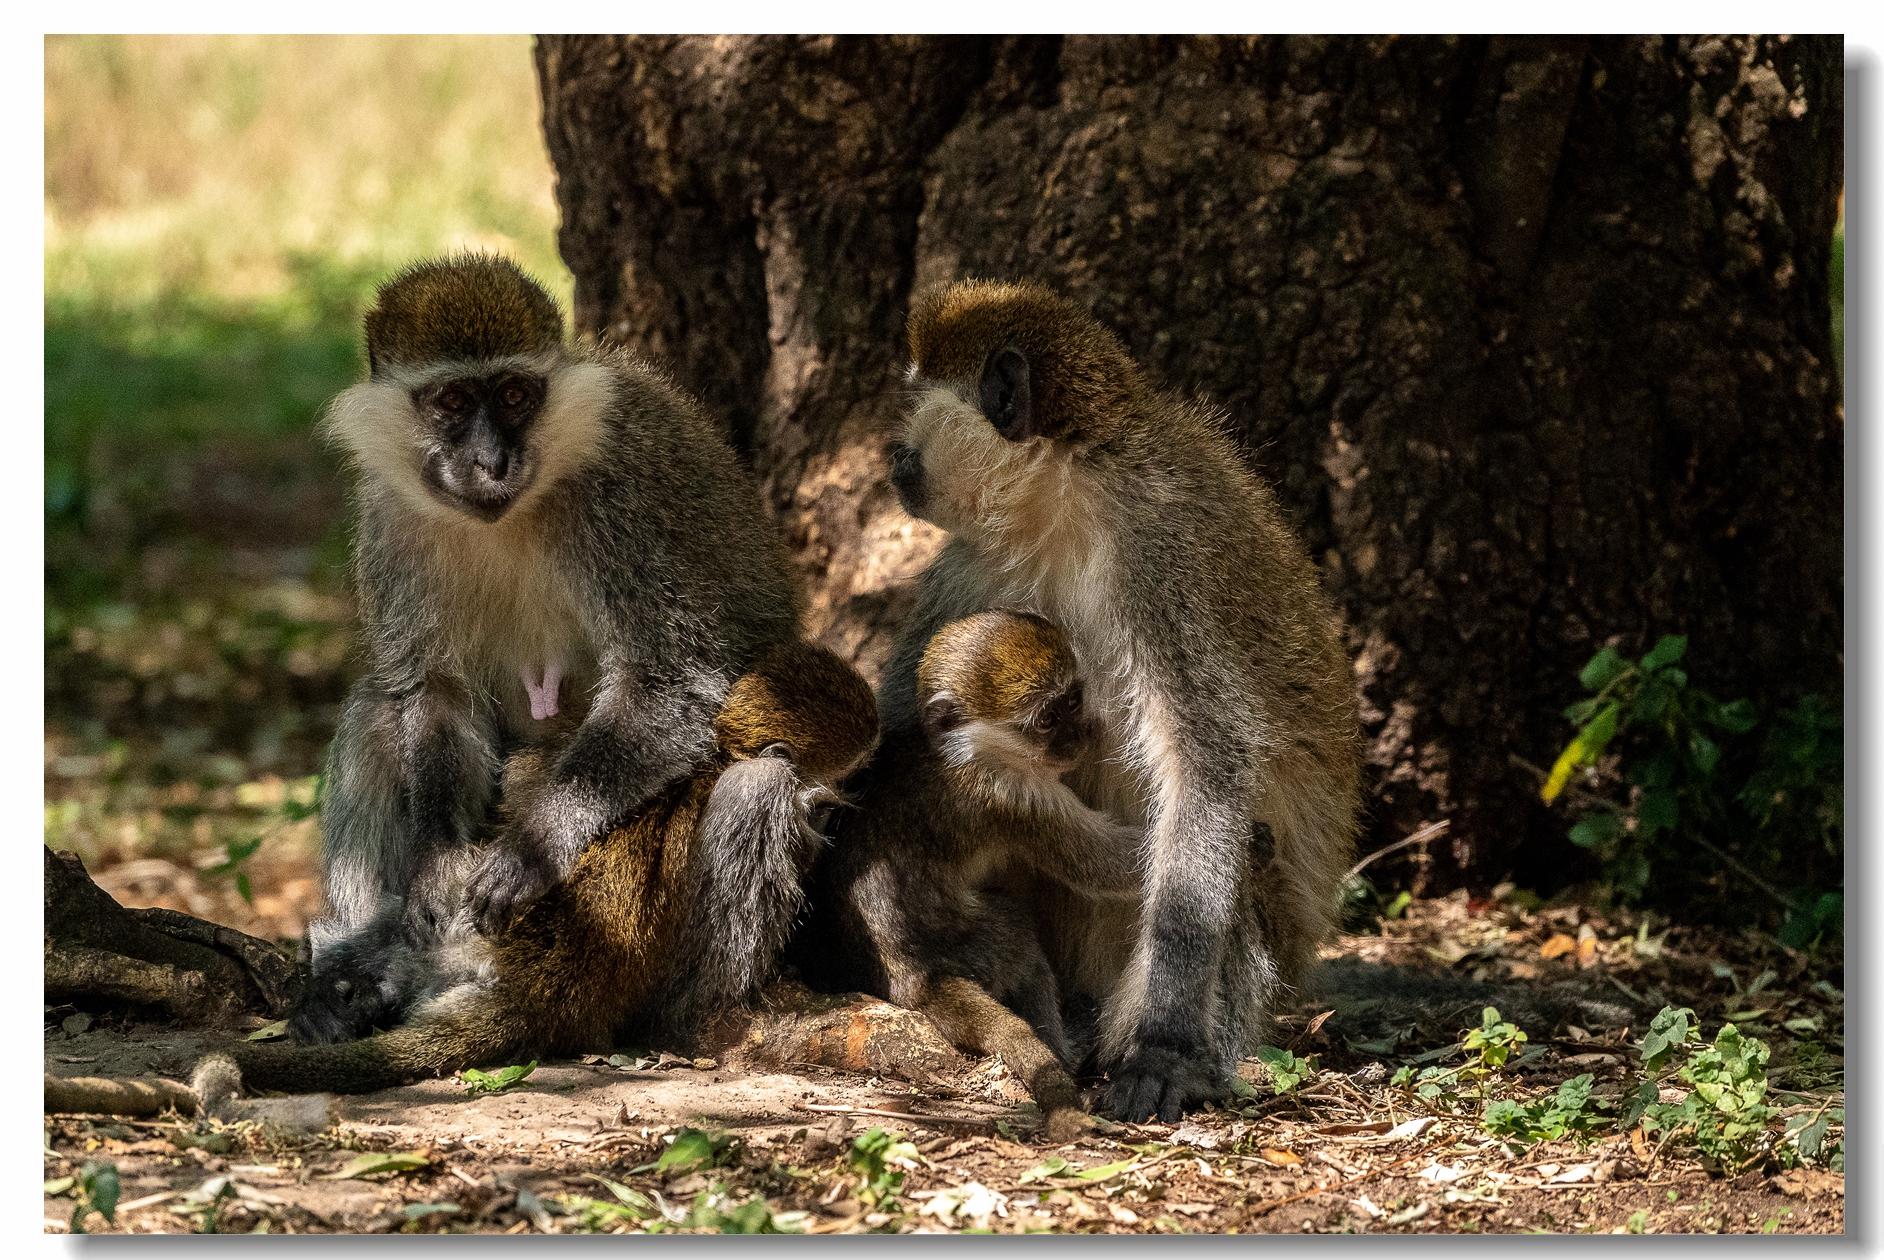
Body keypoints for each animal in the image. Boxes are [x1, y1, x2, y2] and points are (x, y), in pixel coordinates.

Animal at [206, 644, 881, 1092]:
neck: (718, 749)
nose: (834, 818)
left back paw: (347, 990)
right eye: (835, 794)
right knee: (758, 786)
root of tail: (534, 986)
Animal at [791, 610, 1130, 1137]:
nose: (1080, 737)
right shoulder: (1012, 795)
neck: (966, 751)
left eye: (1074, 700)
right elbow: (1102, 866)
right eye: (1047, 720)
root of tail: (912, 979)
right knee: (1017, 937)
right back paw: (1063, 1050)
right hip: (972, 946)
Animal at [874, 282, 1364, 1122]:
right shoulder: (972, 565)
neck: (1067, 497)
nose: (893, 452)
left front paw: (1165, 1046)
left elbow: (1205, 766)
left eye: (913, 399)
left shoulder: (1156, 550)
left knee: (1239, 848)